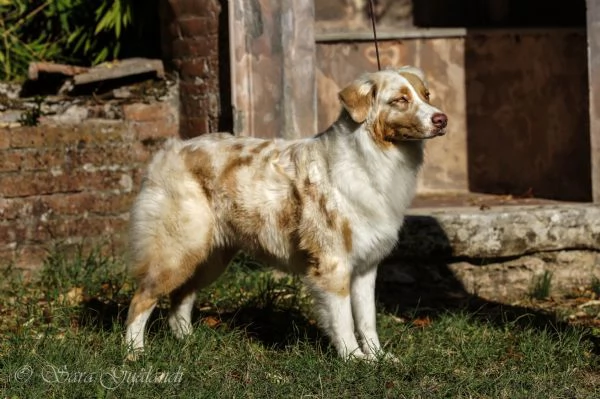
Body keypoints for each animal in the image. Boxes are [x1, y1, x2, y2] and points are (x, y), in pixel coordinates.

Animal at [125, 66, 446, 362]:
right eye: (400, 100)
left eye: (426, 95)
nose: (442, 119)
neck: (372, 156)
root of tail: (169, 150)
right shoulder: (332, 263)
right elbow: (343, 320)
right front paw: (353, 359)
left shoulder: (366, 266)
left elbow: (367, 320)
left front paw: (378, 357)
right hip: (178, 250)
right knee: (142, 298)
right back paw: (134, 353)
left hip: (209, 257)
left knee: (181, 297)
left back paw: (187, 341)